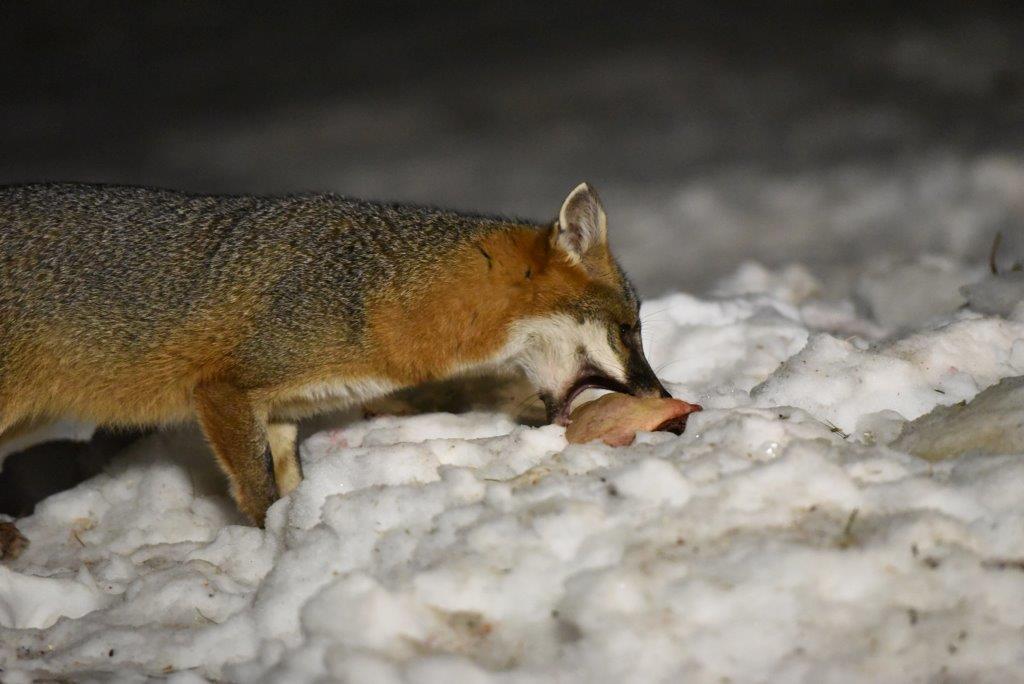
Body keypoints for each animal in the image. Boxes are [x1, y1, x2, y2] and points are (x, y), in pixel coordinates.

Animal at [0, 181, 670, 546]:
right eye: (629, 330)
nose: (666, 397)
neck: (381, 287)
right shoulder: (222, 390)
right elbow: (259, 495)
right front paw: (267, 555)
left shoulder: (278, 413)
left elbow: (289, 488)